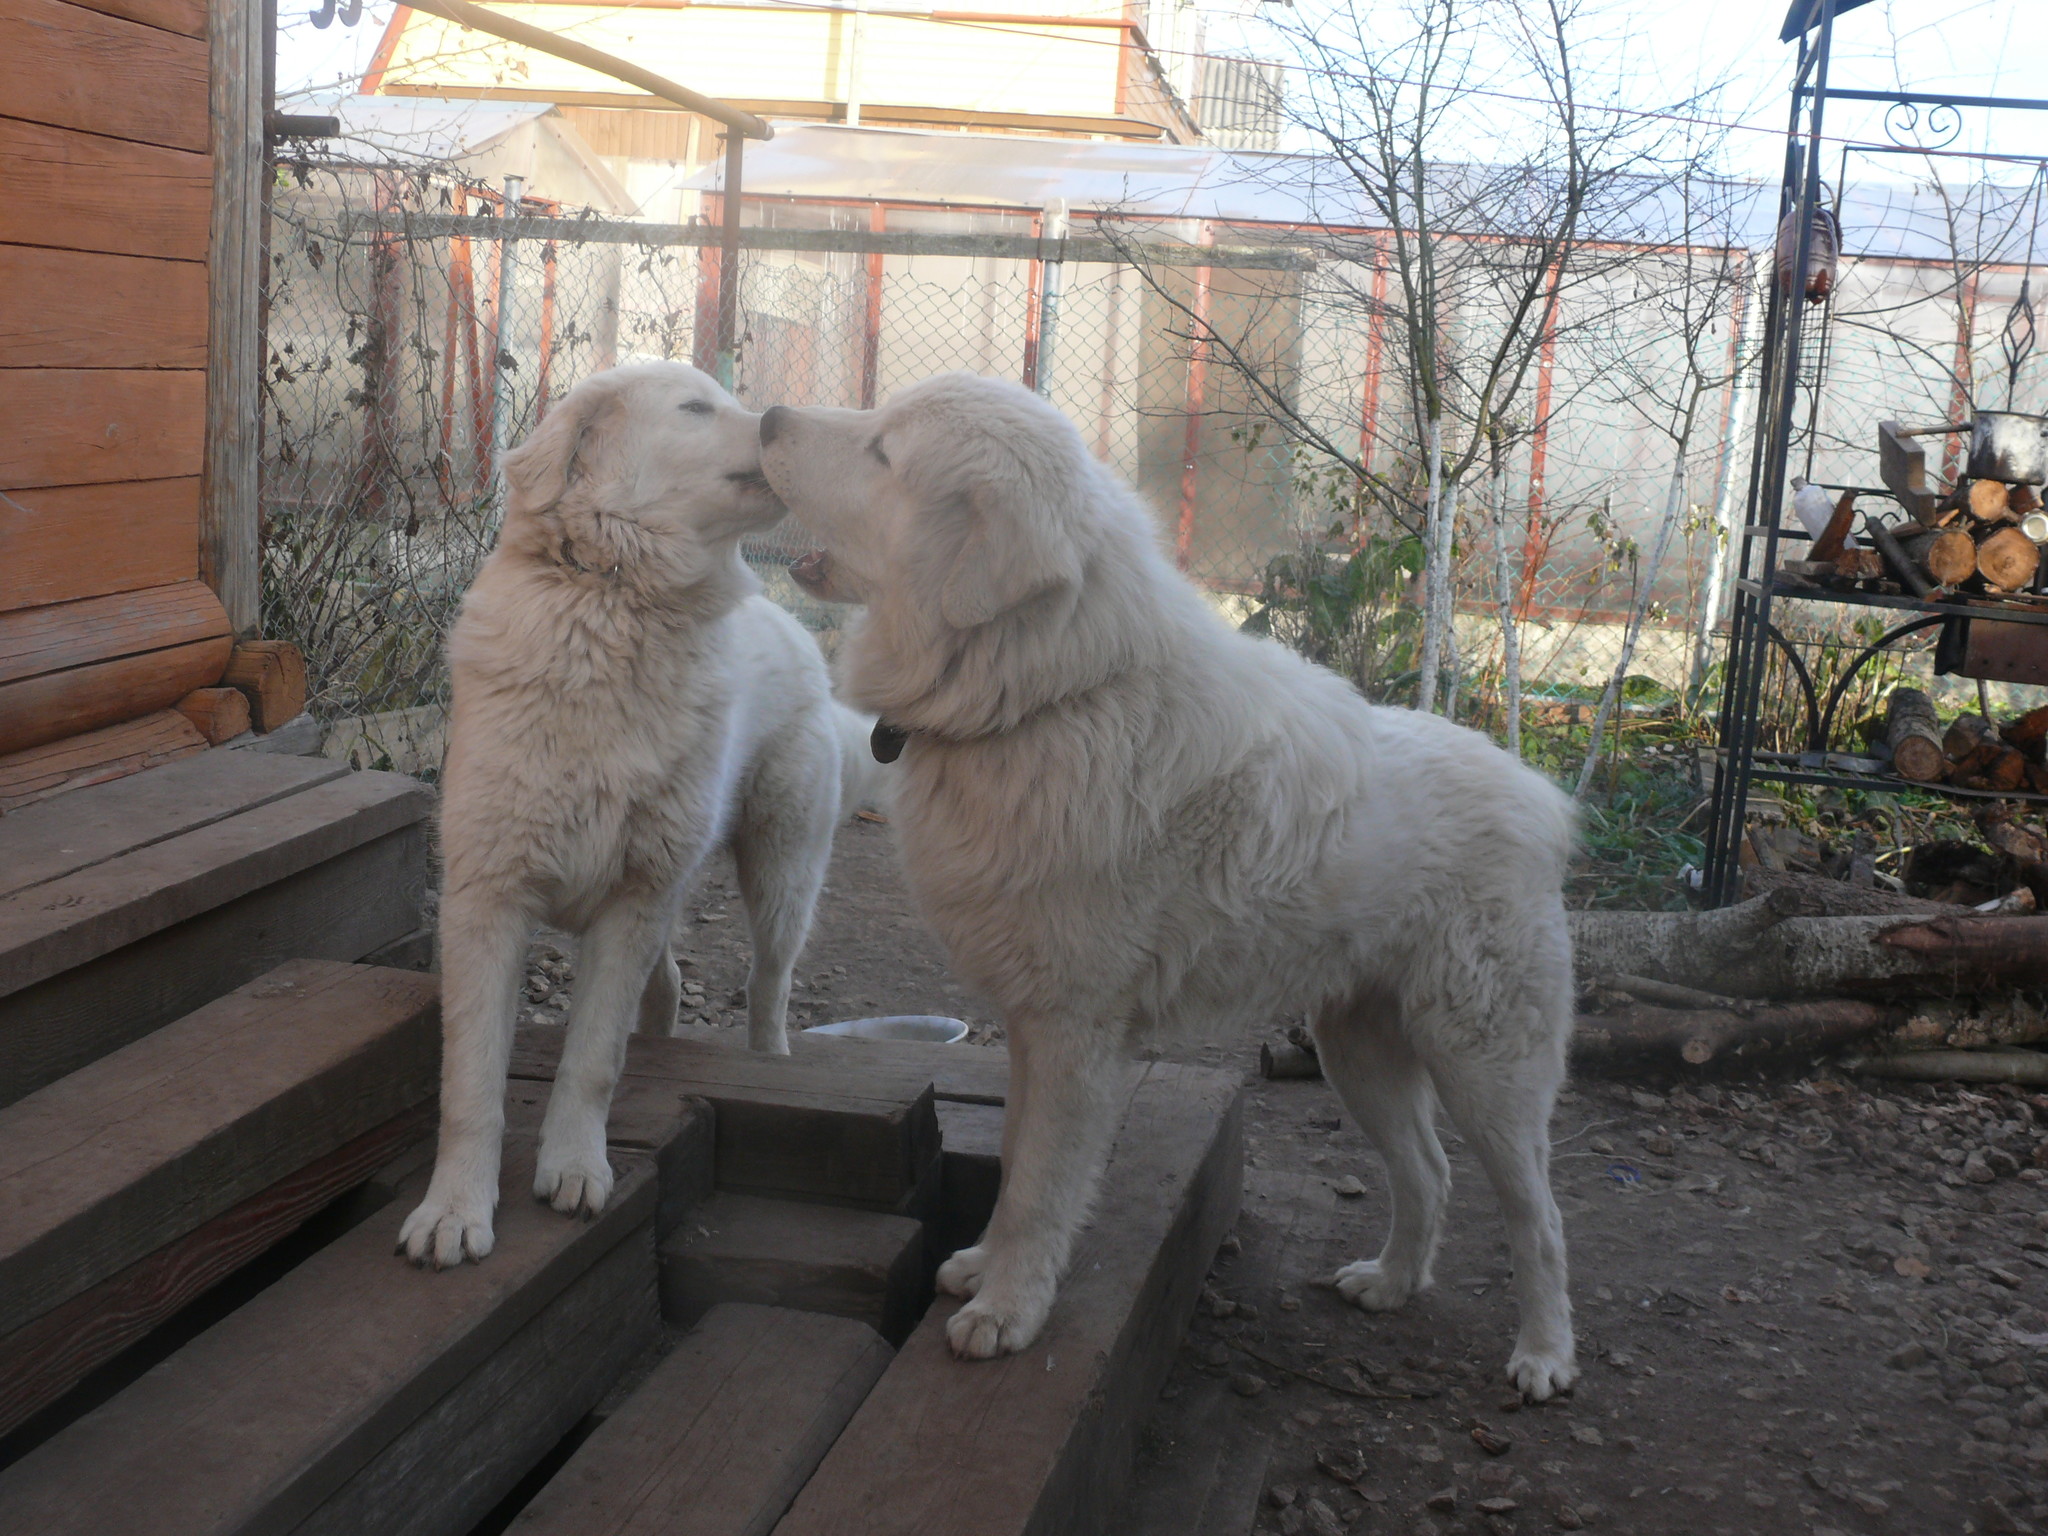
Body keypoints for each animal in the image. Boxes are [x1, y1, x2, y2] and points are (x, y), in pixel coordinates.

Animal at [400, 362, 871, 1268]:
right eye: (695, 409)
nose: (777, 421)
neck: (615, 601)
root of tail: (798, 630)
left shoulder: (630, 902)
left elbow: (591, 1059)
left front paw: (575, 1168)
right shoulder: (490, 900)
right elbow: (470, 1082)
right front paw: (455, 1210)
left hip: (777, 875)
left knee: (768, 986)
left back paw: (771, 1061)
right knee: (674, 985)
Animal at [759, 373, 1580, 1399]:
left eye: (882, 452)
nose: (763, 418)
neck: (1045, 697)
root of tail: (1542, 797)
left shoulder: (1074, 1034)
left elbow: (1039, 1189)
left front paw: (1008, 1312)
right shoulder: (1034, 1025)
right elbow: (1021, 1158)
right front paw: (986, 1272)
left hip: (1487, 1072)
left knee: (1538, 1220)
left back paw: (1545, 1357)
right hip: (1358, 1053)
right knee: (1428, 1174)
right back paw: (1391, 1284)